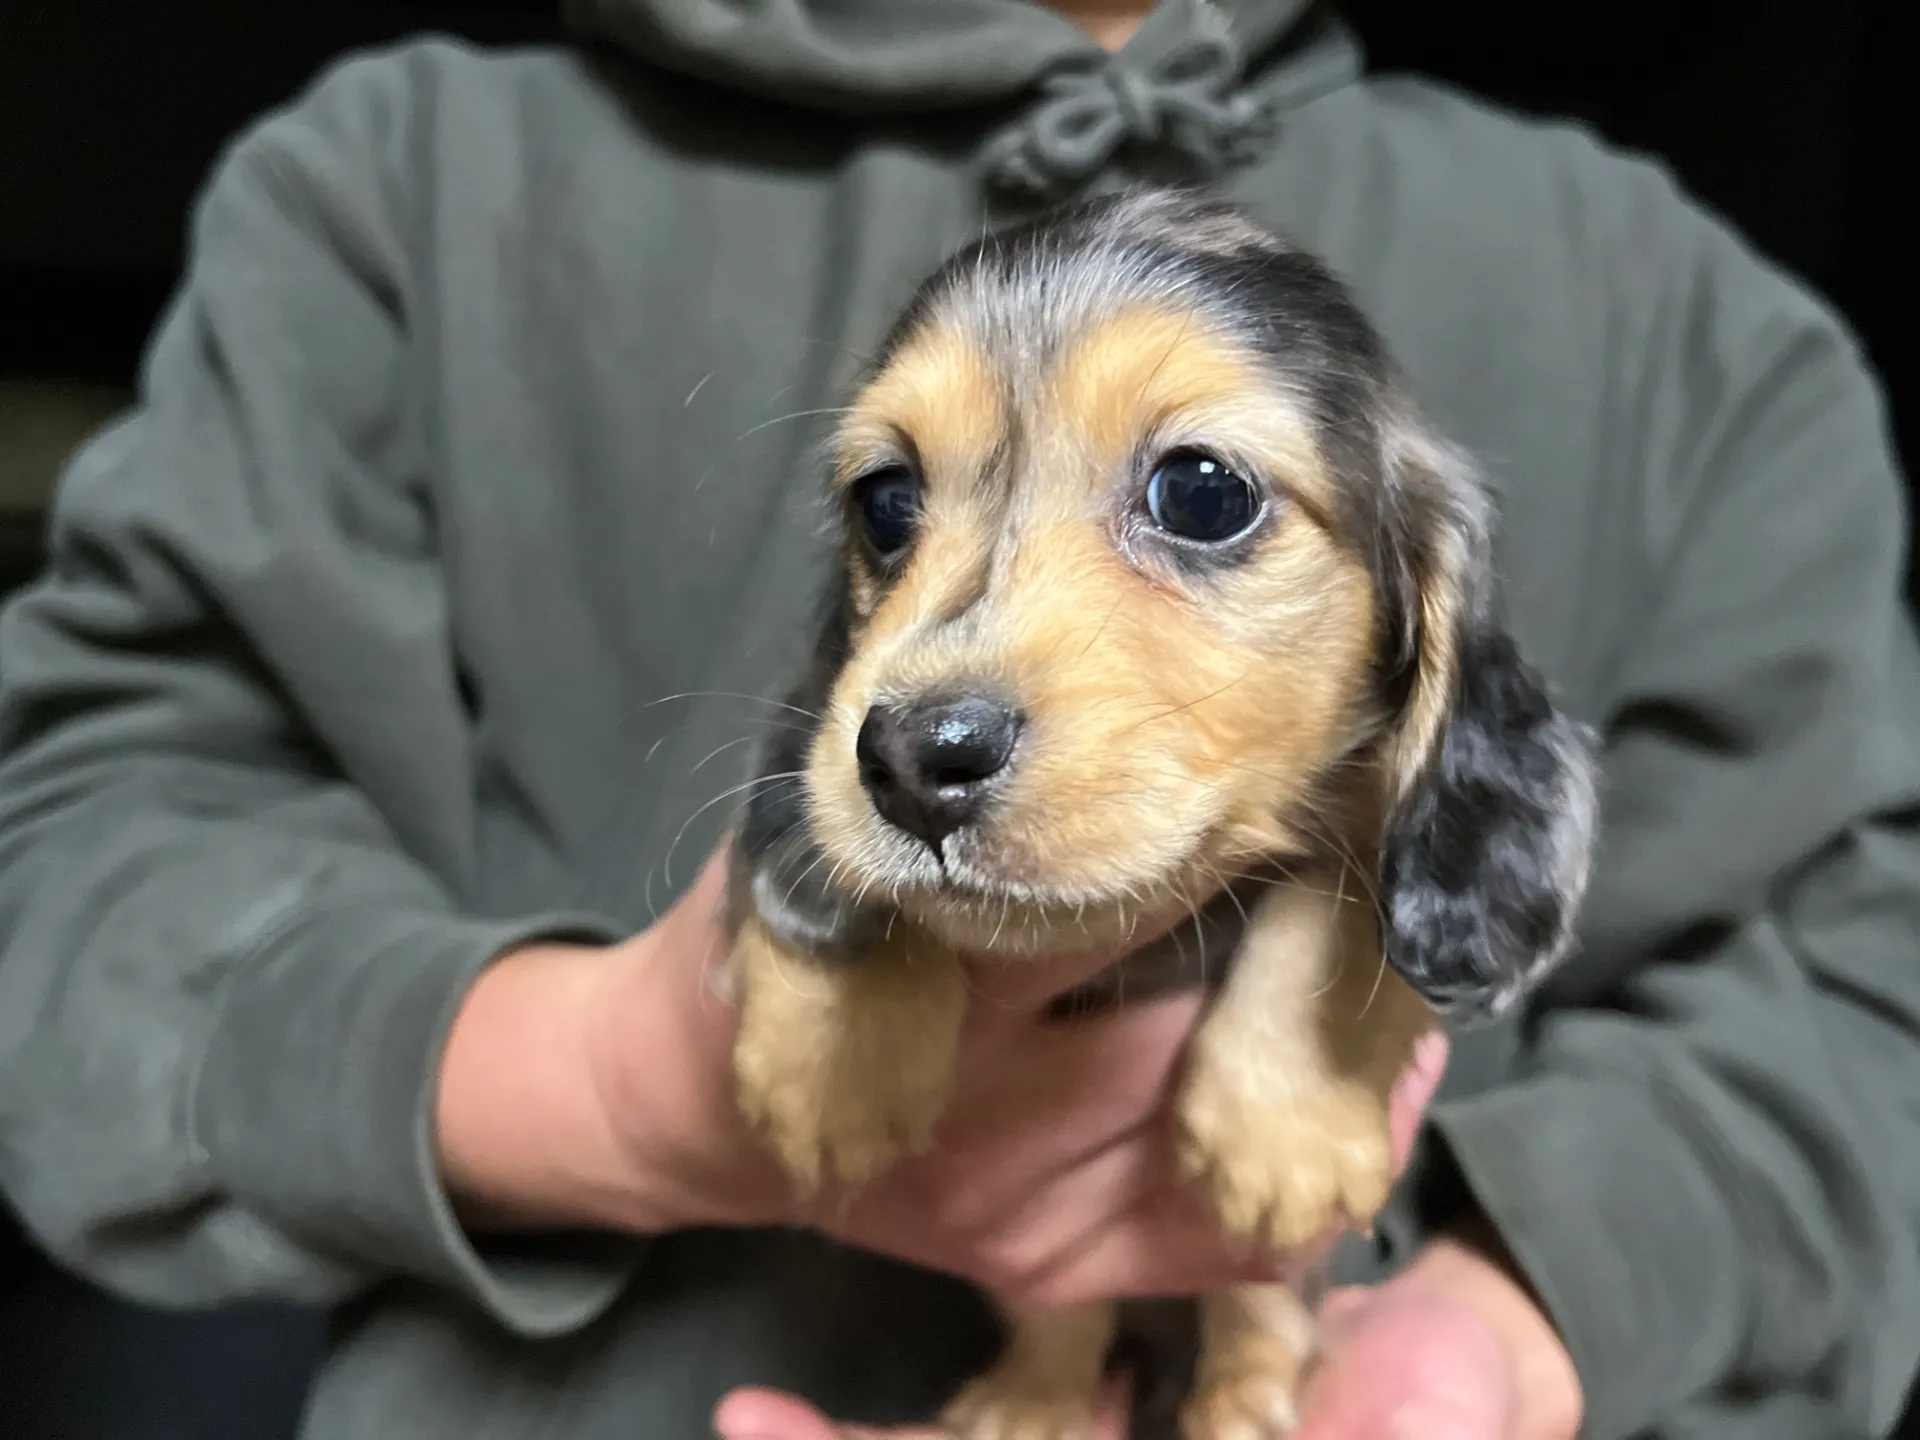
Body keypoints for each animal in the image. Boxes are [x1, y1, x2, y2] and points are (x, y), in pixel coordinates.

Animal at [725, 192, 1597, 1440]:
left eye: (1202, 492)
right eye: (884, 503)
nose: (909, 760)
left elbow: (1339, 888)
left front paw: (1287, 1123)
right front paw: (834, 1064)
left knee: (1254, 1305)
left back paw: (1237, 1403)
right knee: (1060, 1315)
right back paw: (1031, 1401)